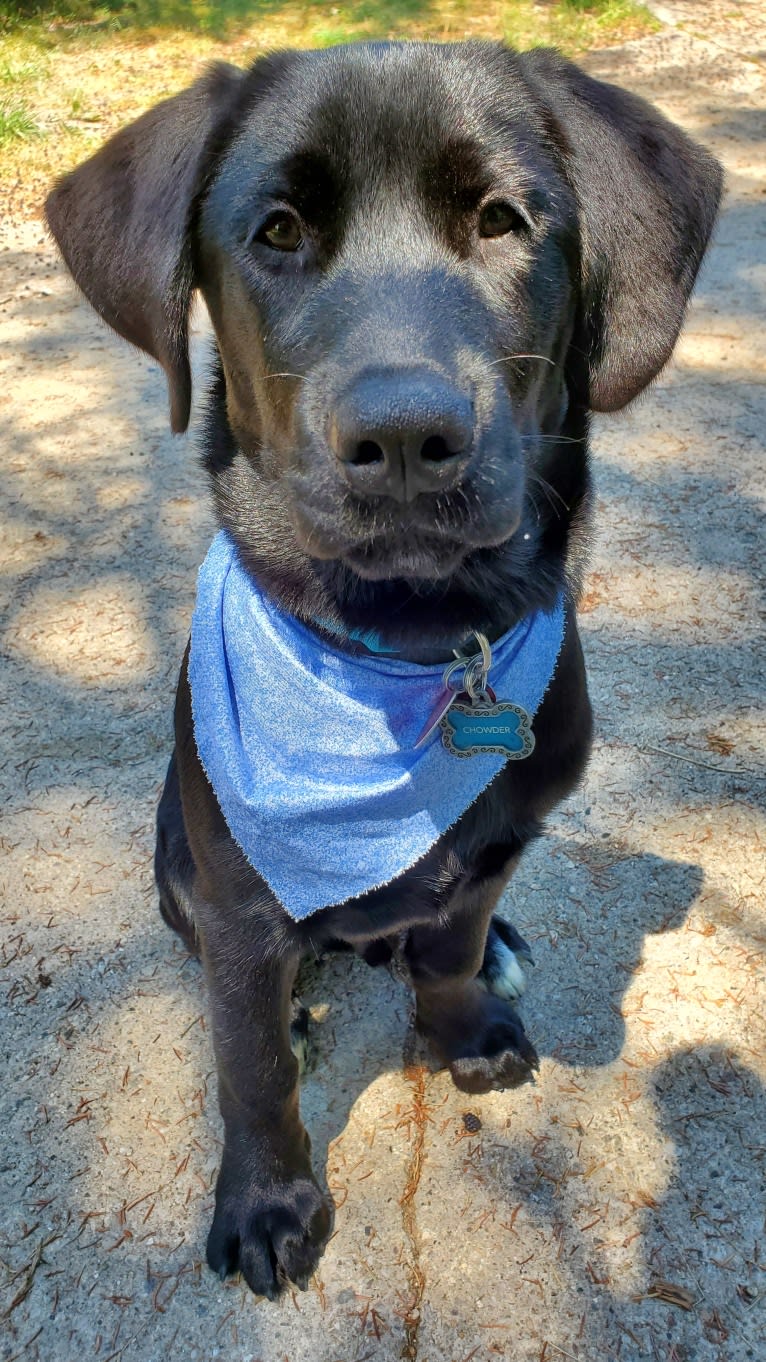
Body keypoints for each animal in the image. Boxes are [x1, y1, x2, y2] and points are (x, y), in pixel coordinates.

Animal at [44, 39, 719, 1296]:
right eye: (276, 232)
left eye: (504, 221)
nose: (406, 437)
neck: (407, 648)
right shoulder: (239, 903)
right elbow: (252, 1065)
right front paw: (267, 1199)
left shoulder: (502, 838)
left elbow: (448, 946)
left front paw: (463, 1029)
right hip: (176, 861)